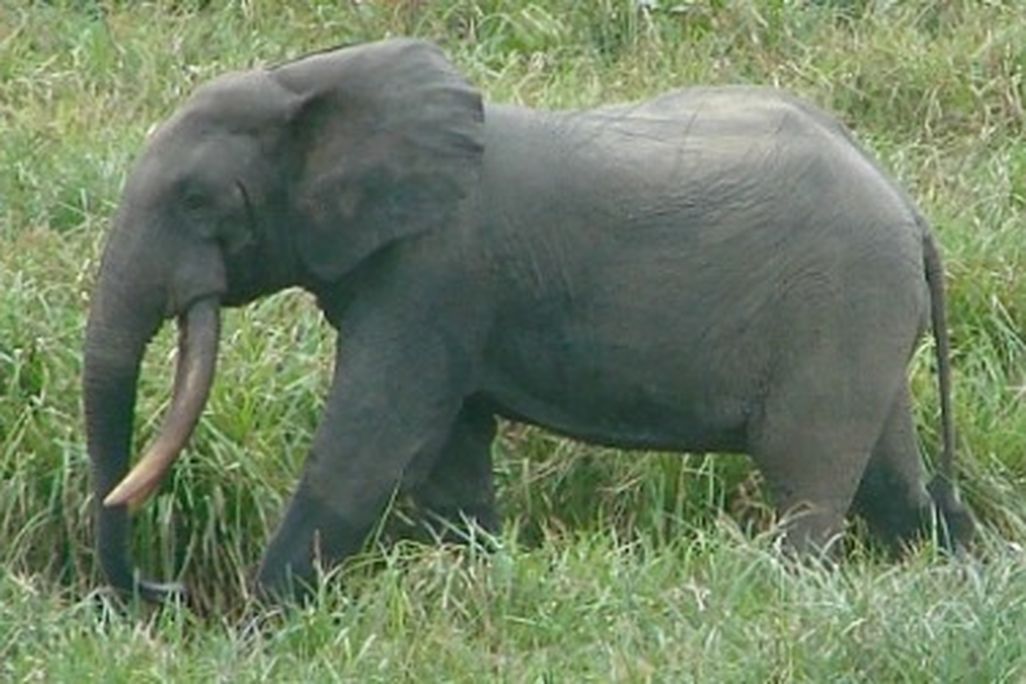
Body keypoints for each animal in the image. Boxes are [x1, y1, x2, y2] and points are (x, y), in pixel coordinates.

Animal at [83, 38, 974, 602]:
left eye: (196, 201)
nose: (163, 587)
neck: (308, 78)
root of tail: (912, 212)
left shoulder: (432, 273)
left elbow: (372, 447)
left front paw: (259, 628)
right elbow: (447, 460)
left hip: (841, 305)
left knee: (806, 484)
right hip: (865, 318)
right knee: (893, 481)